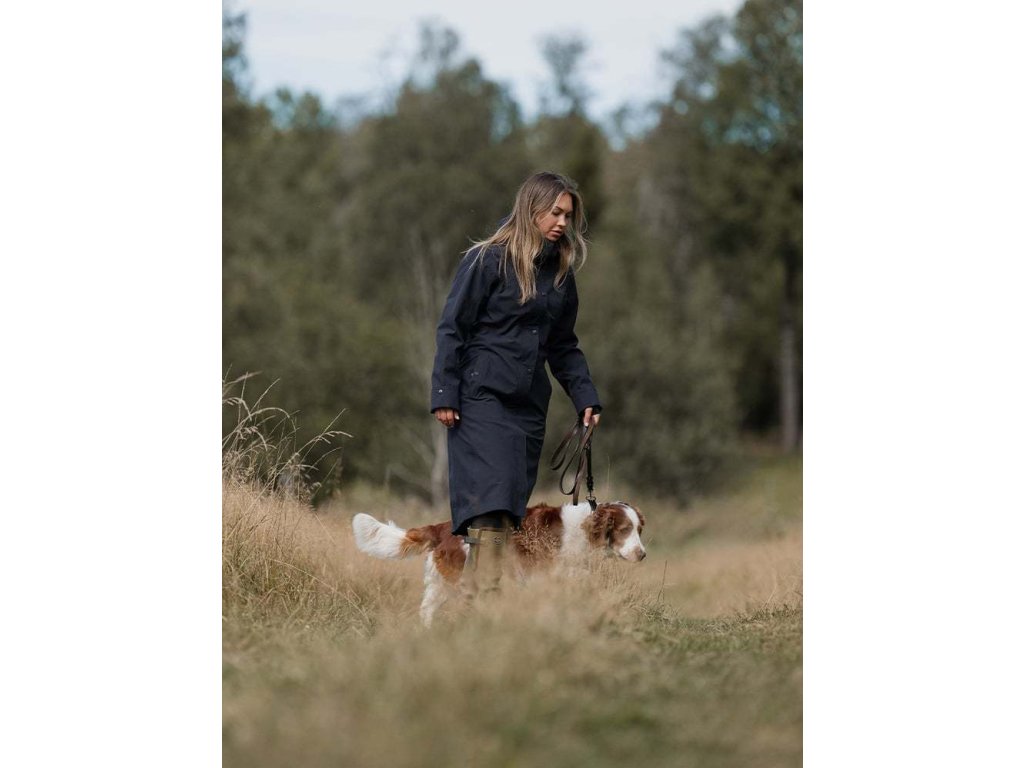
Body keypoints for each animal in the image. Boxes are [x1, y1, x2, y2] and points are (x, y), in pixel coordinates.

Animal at [351, 501, 646, 625]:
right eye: (624, 529)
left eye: (639, 529)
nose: (642, 554)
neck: (583, 529)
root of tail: (443, 527)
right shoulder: (543, 576)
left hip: (441, 584)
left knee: (426, 609)